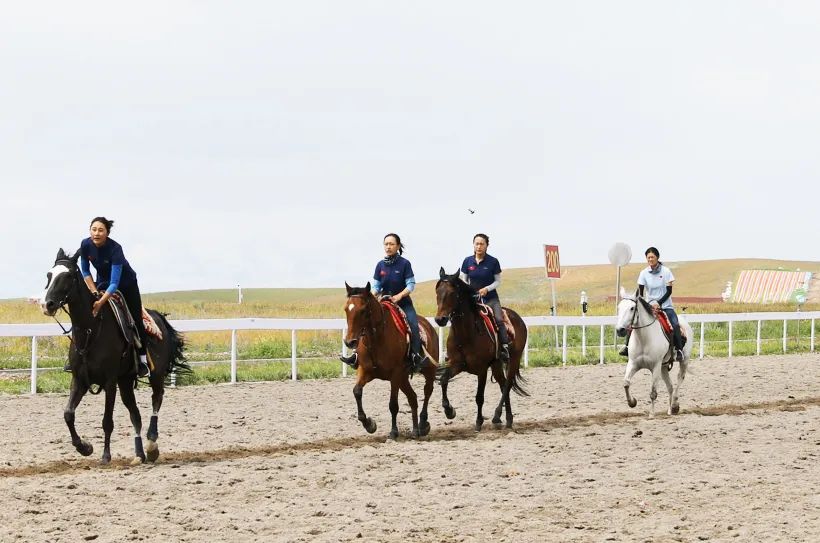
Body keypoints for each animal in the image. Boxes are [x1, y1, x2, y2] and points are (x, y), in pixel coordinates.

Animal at [39, 249, 189, 466]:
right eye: (49, 275)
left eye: (67, 276)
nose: (47, 304)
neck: (91, 329)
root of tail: (159, 317)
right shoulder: (79, 380)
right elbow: (68, 414)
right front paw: (85, 447)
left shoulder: (110, 382)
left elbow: (107, 421)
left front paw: (105, 456)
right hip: (125, 381)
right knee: (135, 415)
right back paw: (139, 454)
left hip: (155, 374)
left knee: (157, 398)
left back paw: (152, 444)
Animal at [342, 282, 438, 440]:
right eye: (346, 309)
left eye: (363, 310)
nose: (350, 342)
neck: (376, 340)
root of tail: (429, 326)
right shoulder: (365, 371)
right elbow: (357, 391)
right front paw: (369, 424)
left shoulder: (395, 374)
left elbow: (393, 404)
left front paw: (393, 432)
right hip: (403, 379)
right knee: (413, 398)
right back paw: (415, 430)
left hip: (427, 371)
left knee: (427, 391)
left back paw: (423, 424)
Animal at [432, 270, 528, 432]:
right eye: (437, 292)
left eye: (452, 293)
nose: (440, 319)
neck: (465, 334)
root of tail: (517, 318)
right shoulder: (456, 364)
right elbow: (444, 380)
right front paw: (449, 411)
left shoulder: (482, 369)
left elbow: (479, 397)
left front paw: (478, 422)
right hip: (496, 364)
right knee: (503, 384)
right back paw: (508, 419)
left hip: (514, 358)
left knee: (507, 385)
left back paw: (497, 415)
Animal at [616, 288, 692, 420]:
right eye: (619, 307)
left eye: (632, 308)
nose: (620, 330)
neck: (644, 339)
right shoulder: (633, 363)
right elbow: (626, 383)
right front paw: (632, 402)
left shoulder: (655, 366)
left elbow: (653, 392)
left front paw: (651, 414)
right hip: (664, 367)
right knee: (670, 387)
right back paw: (669, 411)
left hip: (683, 361)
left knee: (679, 379)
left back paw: (675, 406)